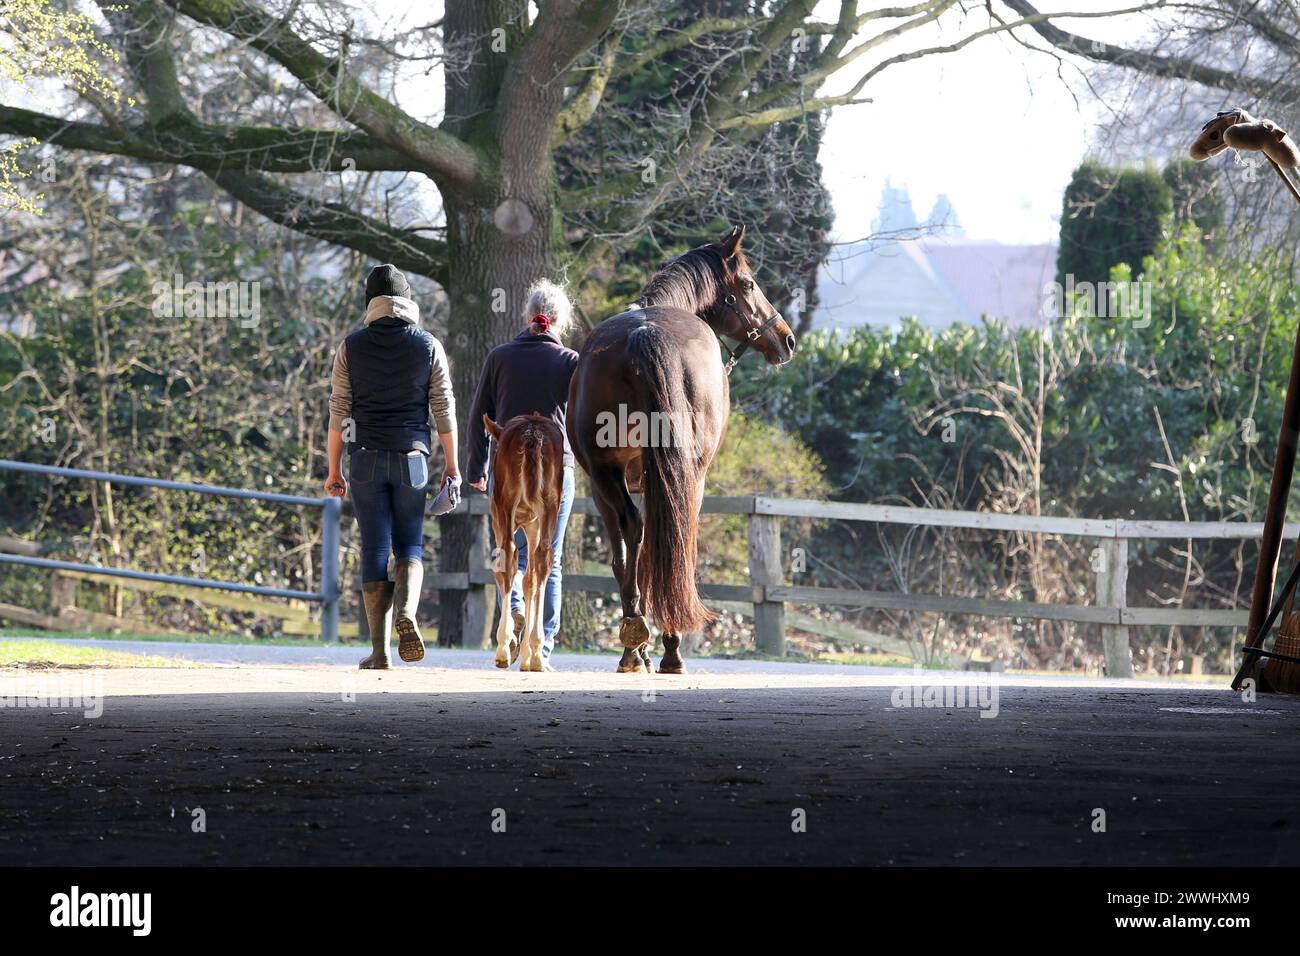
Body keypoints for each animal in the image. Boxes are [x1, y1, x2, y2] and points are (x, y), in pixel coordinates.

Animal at [483, 411, 564, 671]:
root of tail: (533, 434)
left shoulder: (500, 521)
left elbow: (505, 571)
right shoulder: (533, 525)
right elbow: (530, 580)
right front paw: (529, 654)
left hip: (505, 505)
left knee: (508, 558)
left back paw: (503, 649)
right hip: (549, 506)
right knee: (543, 559)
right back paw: (537, 654)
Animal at [566, 223, 790, 671]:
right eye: (749, 283)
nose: (786, 339)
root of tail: (646, 332)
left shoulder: (614, 483)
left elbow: (630, 555)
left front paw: (640, 641)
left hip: (614, 474)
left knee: (644, 532)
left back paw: (641, 643)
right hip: (679, 474)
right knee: (672, 535)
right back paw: (663, 646)